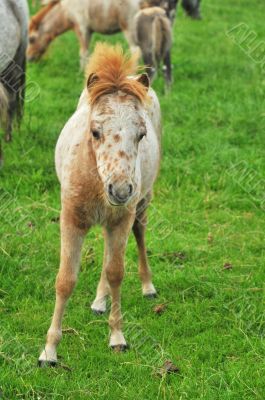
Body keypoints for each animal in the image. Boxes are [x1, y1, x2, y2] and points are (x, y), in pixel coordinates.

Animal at [37, 43, 161, 366]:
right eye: (95, 132)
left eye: (141, 134)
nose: (120, 190)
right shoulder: (71, 218)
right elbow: (65, 280)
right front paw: (49, 352)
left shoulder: (121, 218)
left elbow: (116, 272)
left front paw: (117, 338)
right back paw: (98, 302)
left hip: (140, 202)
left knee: (138, 234)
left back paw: (147, 287)